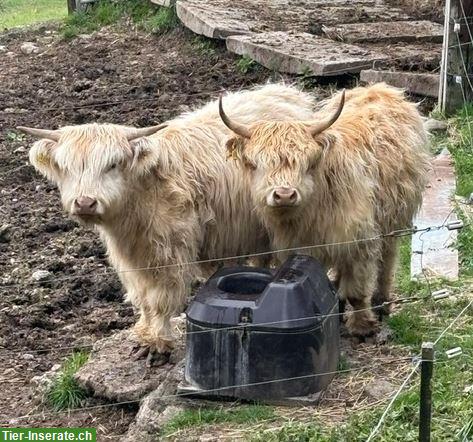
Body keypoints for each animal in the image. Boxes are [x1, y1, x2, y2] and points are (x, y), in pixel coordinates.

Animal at [21, 84, 318, 364]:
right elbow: (142, 298)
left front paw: (158, 344)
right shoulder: (131, 258)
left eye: (113, 164)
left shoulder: (170, 251)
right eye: (66, 166)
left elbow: (161, 298)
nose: (85, 203)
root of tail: (285, 92)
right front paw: (143, 333)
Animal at [219, 84, 430, 336]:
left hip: (394, 219)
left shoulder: (362, 241)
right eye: (255, 164)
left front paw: (362, 327)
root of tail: (379, 88)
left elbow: (357, 292)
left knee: (388, 257)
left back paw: (382, 302)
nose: (284, 195)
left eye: (308, 163)